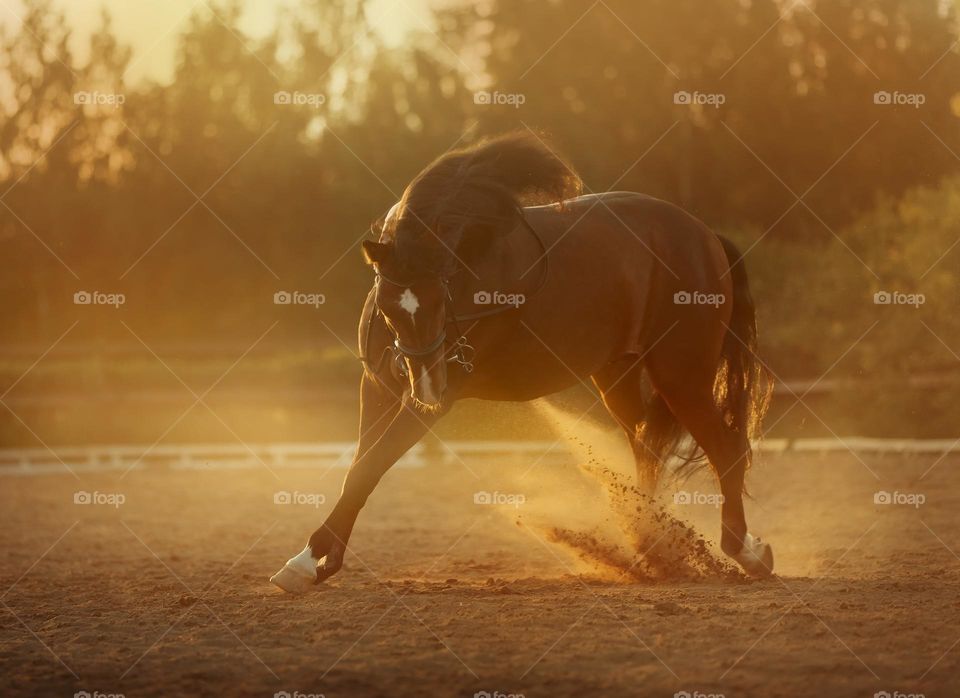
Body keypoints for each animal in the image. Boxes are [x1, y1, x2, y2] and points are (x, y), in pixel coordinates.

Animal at [272, 128, 772, 588]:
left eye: (442, 294)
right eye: (392, 307)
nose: (429, 387)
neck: (473, 262)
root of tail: (703, 235)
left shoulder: (425, 406)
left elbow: (370, 467)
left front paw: (306, 560)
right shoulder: (378, 388)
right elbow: (359, 469)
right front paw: (320, 561)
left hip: (682, 376)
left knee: (727, 449)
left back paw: (746, 552)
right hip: (619, 376)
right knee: (647, 449)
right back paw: (652, 546)